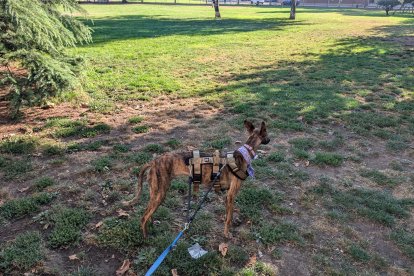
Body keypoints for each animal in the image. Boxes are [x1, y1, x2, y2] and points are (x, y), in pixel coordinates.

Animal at [122, 119, 272, 238]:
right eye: (266, 133)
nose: (270, 140)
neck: (244, 154)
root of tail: (153, 162)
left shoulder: (227, 197)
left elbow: (228, 215)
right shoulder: (231, 195)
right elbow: (228, 218)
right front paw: (227, 234)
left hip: (155, 192)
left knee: (149, 213)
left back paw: (152, 226)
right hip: (161, 193)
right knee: (143, 217)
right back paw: (146, 236)